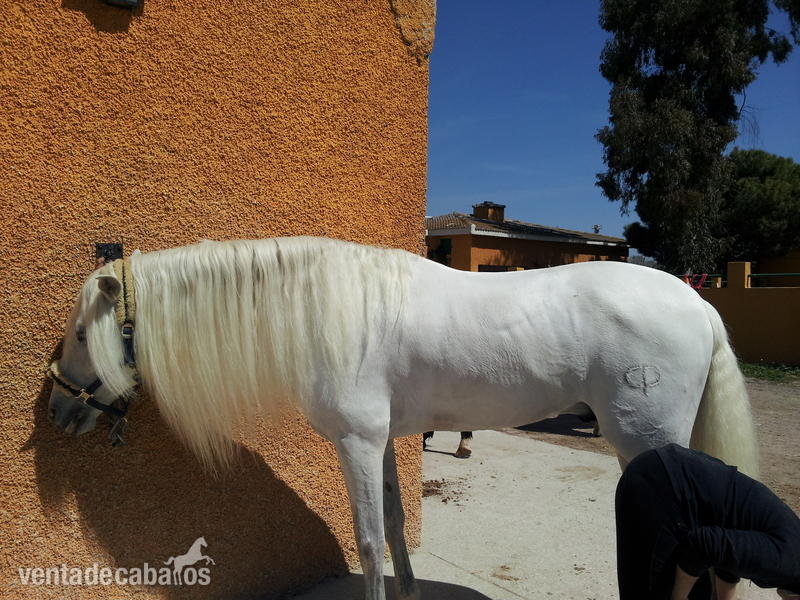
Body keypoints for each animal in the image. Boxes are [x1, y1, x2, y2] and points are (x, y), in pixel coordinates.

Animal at [46, 236, 759, 600]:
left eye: (83, 334)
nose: (54, 408)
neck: (324, 308)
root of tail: (699, 303)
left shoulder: (356, 440)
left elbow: (366, 541)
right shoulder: (380, 440)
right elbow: (391, 525)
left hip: (648, 445)